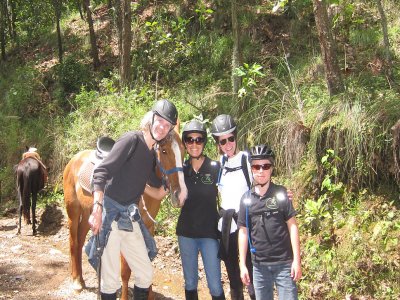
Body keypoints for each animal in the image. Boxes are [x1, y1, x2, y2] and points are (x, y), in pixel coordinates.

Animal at [62, 130, 188, 300]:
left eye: (183, 150)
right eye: (164, 151)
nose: (181, 195)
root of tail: (75, 158)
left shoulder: (149, 227)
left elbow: (147, 263)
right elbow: (125, 271)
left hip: (89, 213)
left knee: (80, 241)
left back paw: (81, 279)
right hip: (73, 211)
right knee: (73, 242)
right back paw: (76, 282)